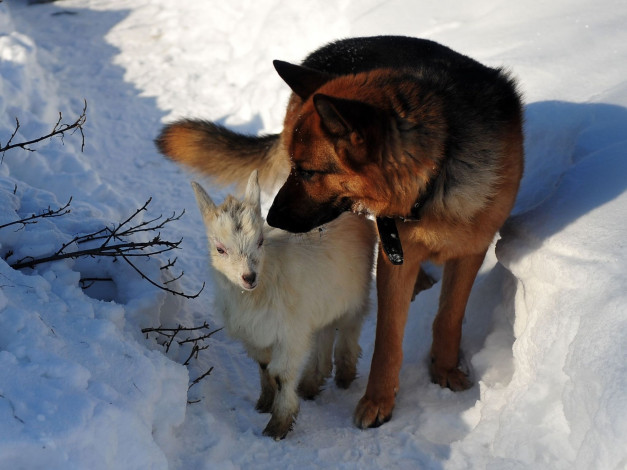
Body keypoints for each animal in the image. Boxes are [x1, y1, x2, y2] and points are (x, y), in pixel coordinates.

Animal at [158, 35, 524, 428]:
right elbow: (387, 339)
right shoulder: (395, 256)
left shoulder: (472, 249)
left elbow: (449, 318)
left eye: (309, 172)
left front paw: (444, 370)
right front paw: (378, 401)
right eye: (295, 167)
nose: (272, 218)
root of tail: (326, 50)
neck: (437, 175)